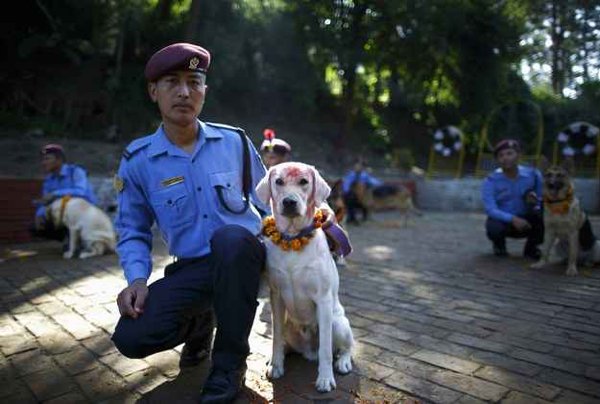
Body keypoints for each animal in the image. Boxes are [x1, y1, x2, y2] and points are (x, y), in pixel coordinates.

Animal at [255, 160, 354, 392]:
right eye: (279, 181)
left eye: (303, 181)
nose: (289, 202)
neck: (293, 239)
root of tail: (308, 352)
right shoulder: (276, 296)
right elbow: (275, 337)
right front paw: (276, 365)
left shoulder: (323, 299)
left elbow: (326, 349)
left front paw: (325, 379)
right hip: (289, 325)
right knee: (284, 341)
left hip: (338, 323)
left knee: (345, 347)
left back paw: (343, 362)